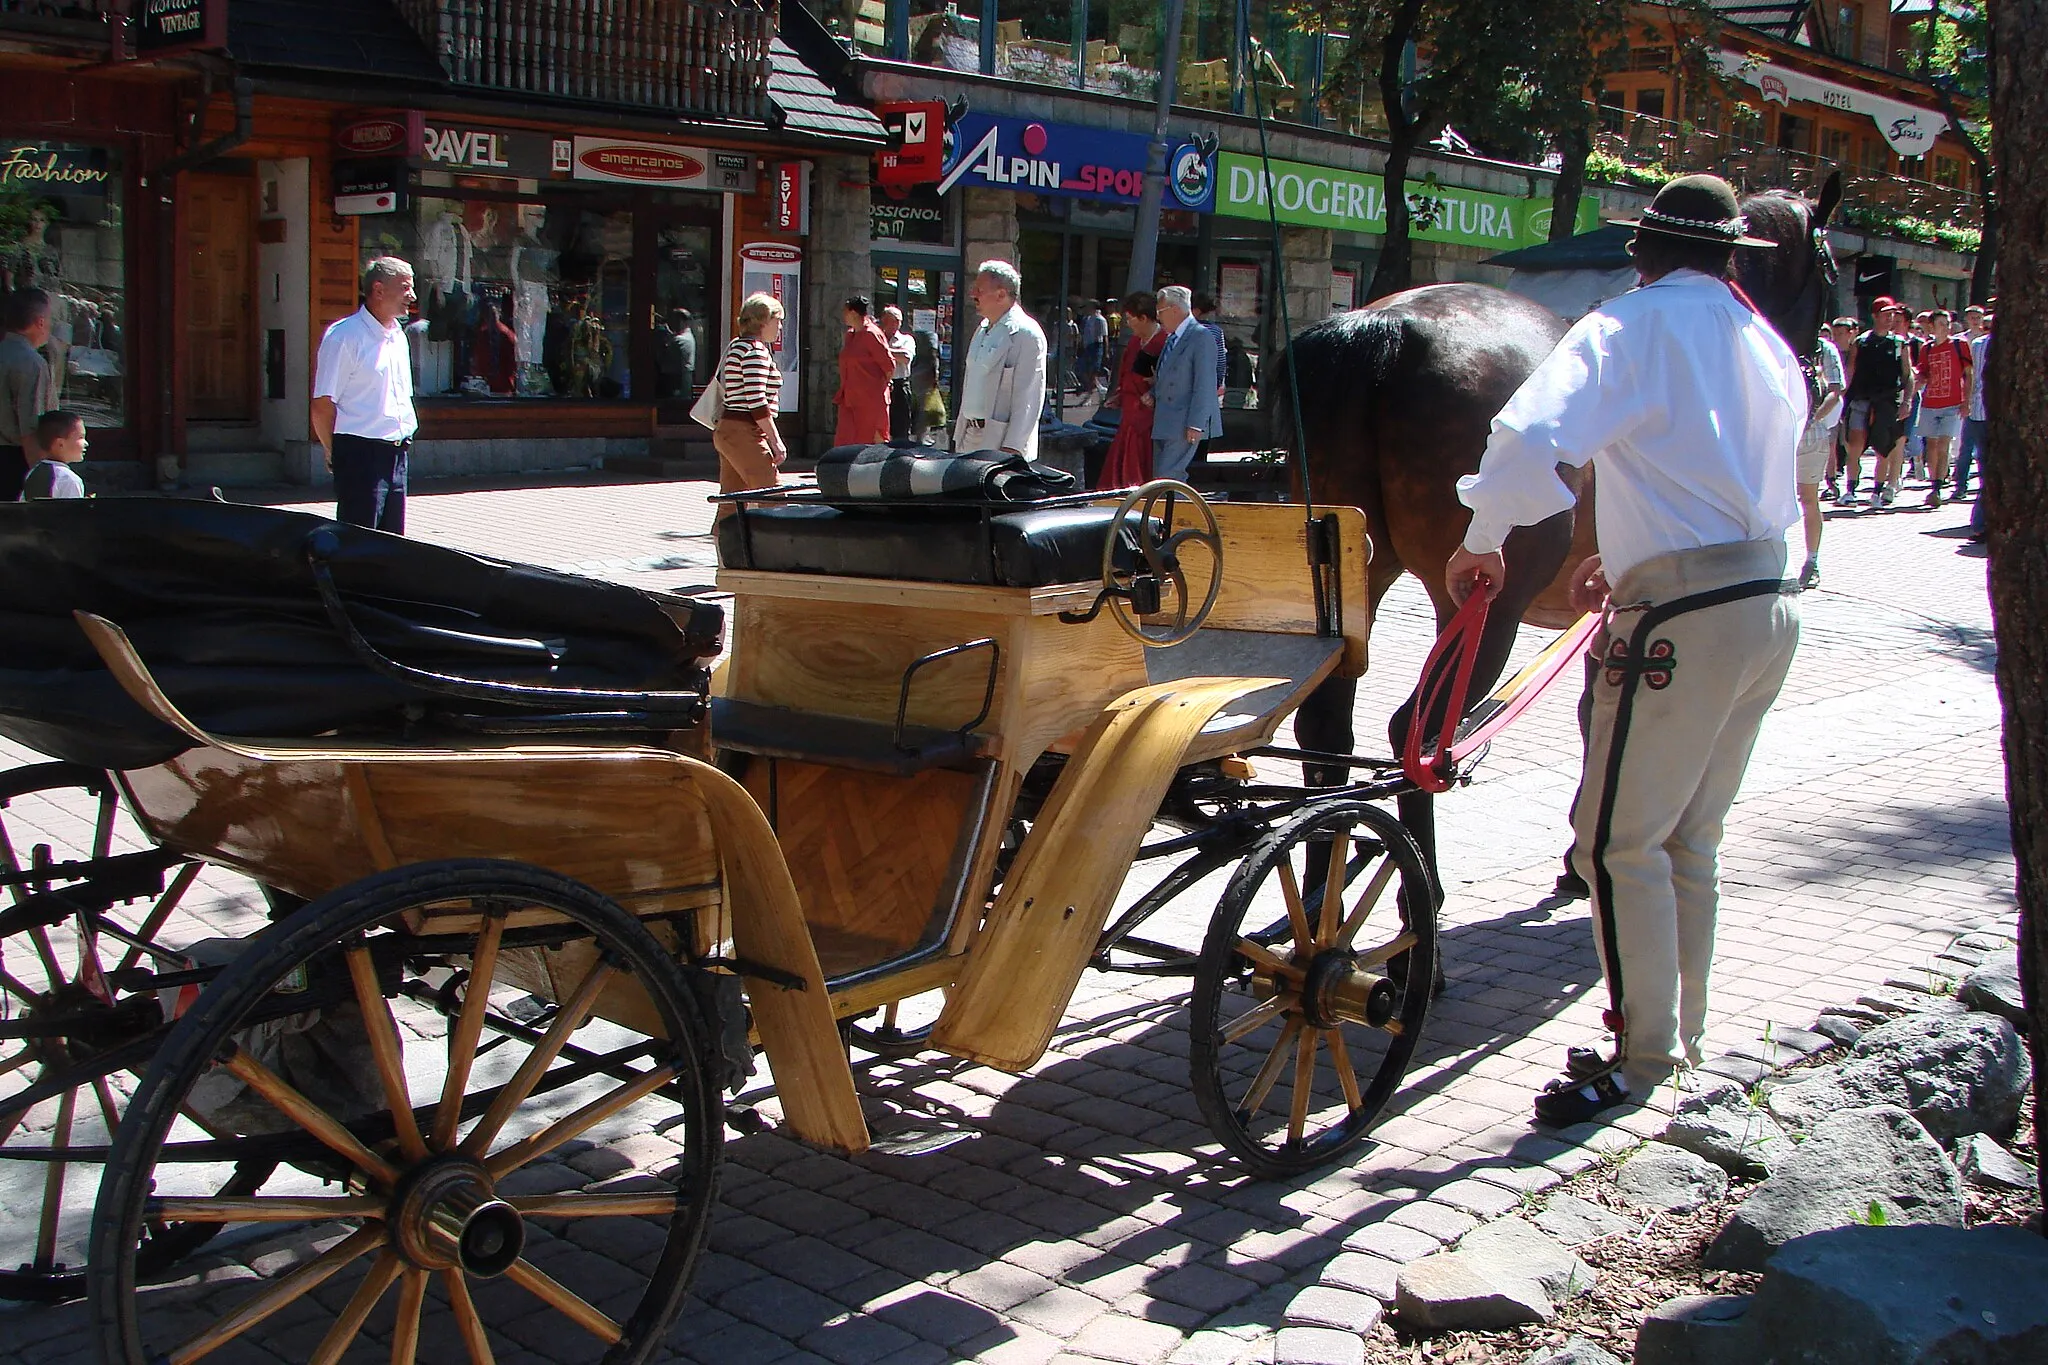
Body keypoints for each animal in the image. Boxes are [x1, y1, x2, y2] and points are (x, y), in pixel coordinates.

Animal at [1277, 171, 1843, 810]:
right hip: (1482, 608)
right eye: (1831, 271)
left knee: (1328, 729)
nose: (1820, 377)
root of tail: (1391, 326)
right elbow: (1600, 719)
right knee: (1415, 740)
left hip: (1357, 583)